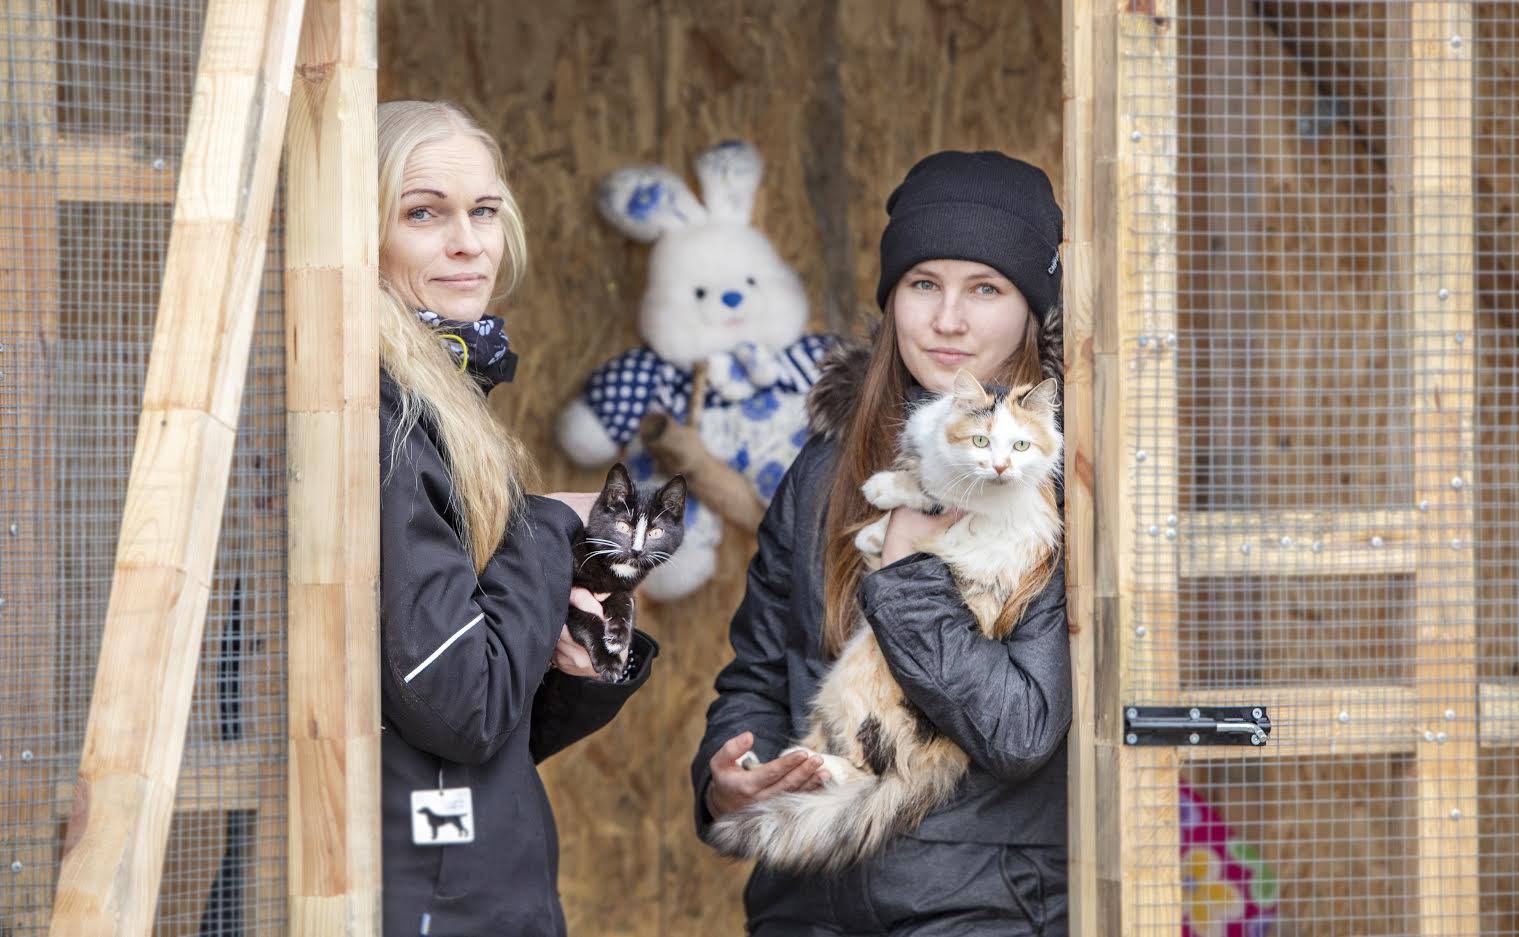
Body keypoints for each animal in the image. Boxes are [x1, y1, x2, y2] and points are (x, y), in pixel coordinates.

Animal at [568, 461, 692, 677]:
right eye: (623, 526)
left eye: (655, 532)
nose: (636, 551)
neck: (616, 568)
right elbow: (583, 616)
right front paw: (609, 661)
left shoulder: (623, 588)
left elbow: (624, 599)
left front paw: (619, 634)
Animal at [704, 370, 1063, 868]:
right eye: (981, 440)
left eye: (1022, 446)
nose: (1000, 468)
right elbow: (920, 484)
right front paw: (875, 533)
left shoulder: (999, 512)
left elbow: (935, 496)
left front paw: (884, 493)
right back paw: (760, 766)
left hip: (854, 686)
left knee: (865, 774)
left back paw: (819, 770)